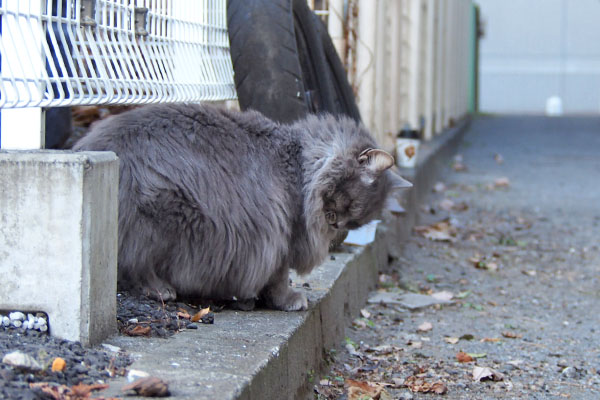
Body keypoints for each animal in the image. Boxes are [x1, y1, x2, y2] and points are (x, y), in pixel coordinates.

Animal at [74, 103, 412, 310]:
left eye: (355, 222)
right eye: (348, 208)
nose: (339, 229)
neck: (300, 164)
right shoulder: (281, 236)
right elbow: (278, 278)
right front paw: (288, 299)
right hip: (164, 214)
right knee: (134, 264)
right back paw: (161, 289)